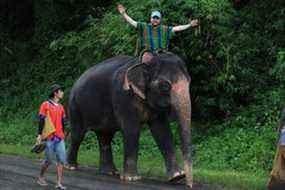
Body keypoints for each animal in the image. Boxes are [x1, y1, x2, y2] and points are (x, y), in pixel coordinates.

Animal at [66, 51, 192, 188]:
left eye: (189, 81)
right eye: (165, 86)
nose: (189, 185)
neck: (144, 64)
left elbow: (162, 131)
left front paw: (177, 177)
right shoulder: (123, 97)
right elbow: (132, 130)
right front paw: (132, 179)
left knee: (105, 138)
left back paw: (109, 172)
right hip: (75, 106)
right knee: (78, 135)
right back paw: (71, 167)